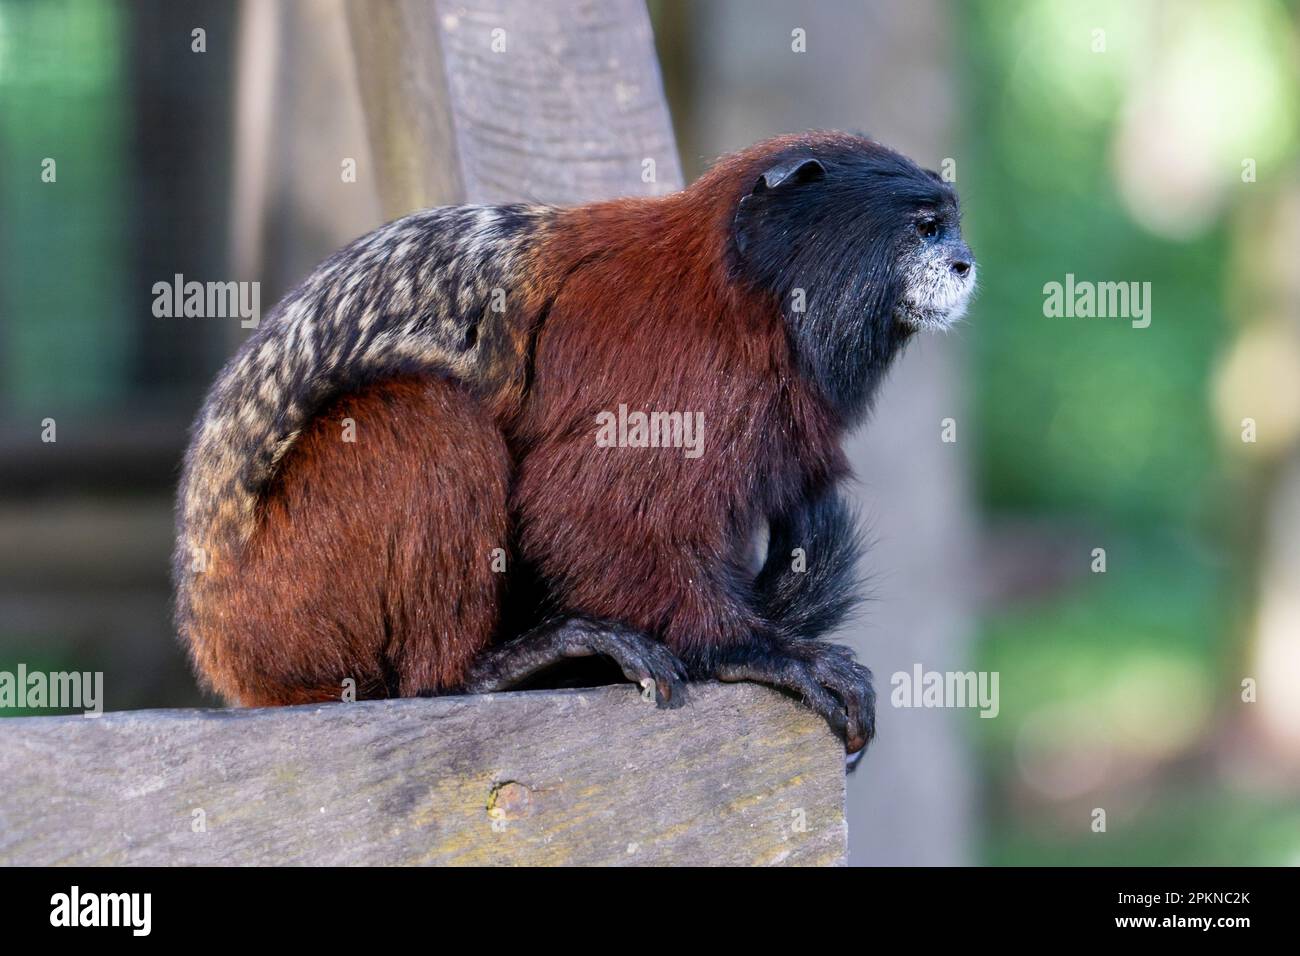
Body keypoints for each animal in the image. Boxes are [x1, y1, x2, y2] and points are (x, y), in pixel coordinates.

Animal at [173, 130, 976, 755]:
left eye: (951, 229)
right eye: (926, 229)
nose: (966, 263)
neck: (754, 300)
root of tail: (218, 636)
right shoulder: (683, 367)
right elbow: (584, 513)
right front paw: (755, 650)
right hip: (288, 602)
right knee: (425, 416)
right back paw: (475, 670)